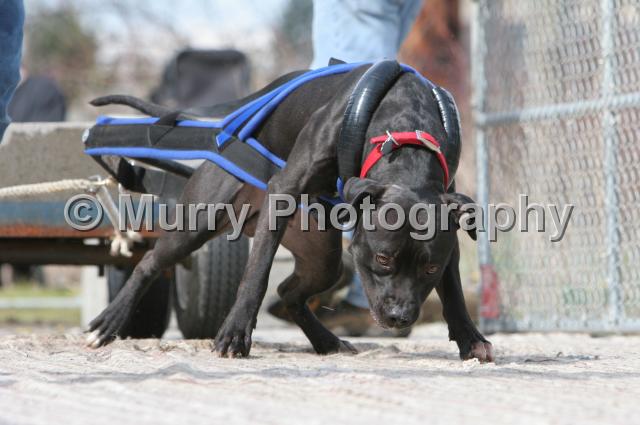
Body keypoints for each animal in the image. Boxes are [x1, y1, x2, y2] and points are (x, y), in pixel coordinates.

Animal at [85, 60, 494, 362]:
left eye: (429, 268)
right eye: (383, 259)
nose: (399, 318)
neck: (405, 135)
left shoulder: (447, 228)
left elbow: (454, 292)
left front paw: (470, 338)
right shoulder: (283, 191)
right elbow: (256, 274)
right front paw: (235, 333)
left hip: (323, 256)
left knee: (290, 292)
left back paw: (326, 341)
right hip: (199, 222)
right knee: (150, 262)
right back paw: (109, 322)